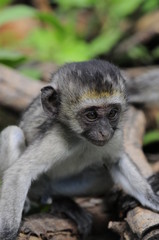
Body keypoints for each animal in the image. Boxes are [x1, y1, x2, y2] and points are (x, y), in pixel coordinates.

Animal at [0, 59, 159, 238]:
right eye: (91, 115)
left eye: (112, 113)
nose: (105, 132)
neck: (82, 140)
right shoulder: (56, 136)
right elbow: (19, 172)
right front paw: (7, 234)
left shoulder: (115, 135)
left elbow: (116, 161)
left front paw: (152, 199)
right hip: (37, 186)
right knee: (13, 133)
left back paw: (63, 201)